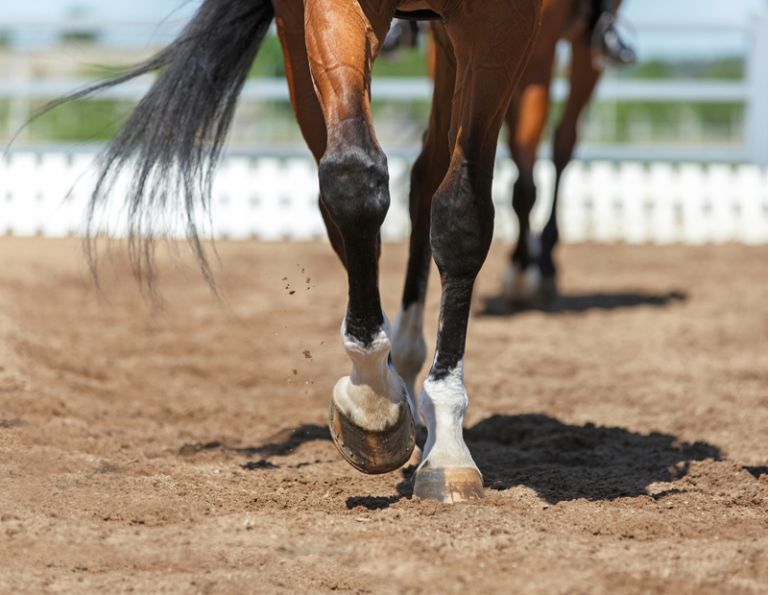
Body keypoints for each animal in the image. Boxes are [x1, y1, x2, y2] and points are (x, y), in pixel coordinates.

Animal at [41, 0, 541, 503]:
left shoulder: (504, 25)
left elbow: (462, 215)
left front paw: (448, 448)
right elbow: (353, 179)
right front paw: (373, 399)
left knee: (428, 176)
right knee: (357, 191)